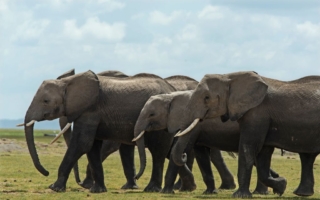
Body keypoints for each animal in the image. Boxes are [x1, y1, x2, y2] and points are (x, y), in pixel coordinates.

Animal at [22, 70, 198, 192]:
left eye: (46, 101)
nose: (46, 172)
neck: (68, 82)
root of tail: (171, 87)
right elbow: (92, 147)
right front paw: (97, 190)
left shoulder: (90, 111)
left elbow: (81, 144)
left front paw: (55, 188)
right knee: (170, 151)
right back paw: (188, 187)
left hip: (161, 122)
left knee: (159, 152)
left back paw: (152, 189)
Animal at [132, 90, 280, 195]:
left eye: (151, 114)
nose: (136, 177)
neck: (173, 95)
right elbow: (201, 154)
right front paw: (210, 192)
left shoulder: (193, 125)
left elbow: (182, 148)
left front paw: (166, 192)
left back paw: (263, 192)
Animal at [178, 71, 320, 198]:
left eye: (206, 97)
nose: (184, 155)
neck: (229, 77)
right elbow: (263, 153)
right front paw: (281, 186)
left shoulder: (257, 113)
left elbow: (248, 148)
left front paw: (239, 196)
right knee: (307, 157)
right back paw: (302, 194)